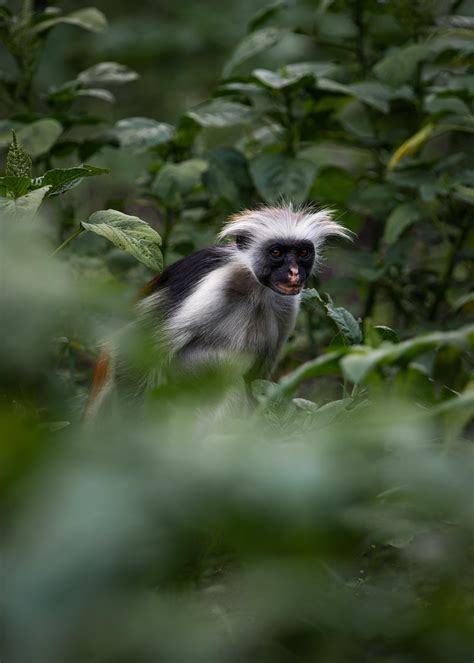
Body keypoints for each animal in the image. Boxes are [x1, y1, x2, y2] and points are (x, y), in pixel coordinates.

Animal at [85, 205, 350, 419]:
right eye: (277, 253)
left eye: (303, 252)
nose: (294, 272)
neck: (255, 290)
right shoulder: (216, 285)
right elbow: (133, 350)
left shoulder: (288, 305)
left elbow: (256, 378)